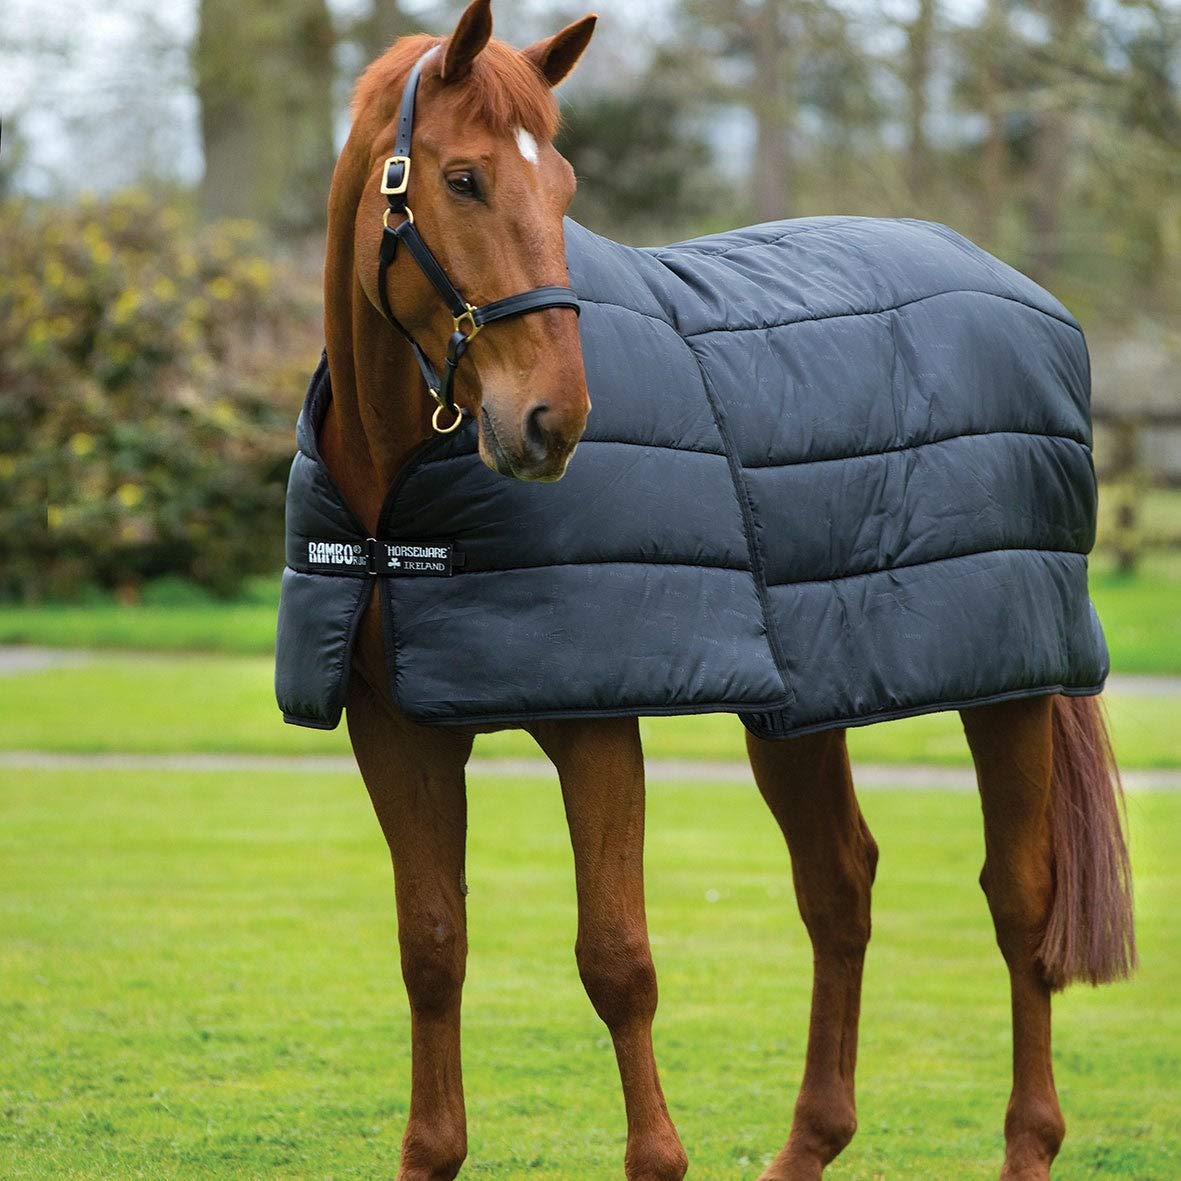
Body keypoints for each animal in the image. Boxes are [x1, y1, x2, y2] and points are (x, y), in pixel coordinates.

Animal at [312, 3, 1136, 1177]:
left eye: (562, 186)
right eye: (462, 179)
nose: (554, 419)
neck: (396, 502)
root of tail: (1023, 293)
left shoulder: (594, 724)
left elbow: (616, 959)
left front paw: (657, 1157)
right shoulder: (398, 730)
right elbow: (431, 946)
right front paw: (431, 1149)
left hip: (1010, 688)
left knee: (1019, 900)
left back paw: (1030, 1140)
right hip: (804, 702)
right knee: (840, 889)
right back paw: (810, 1142)